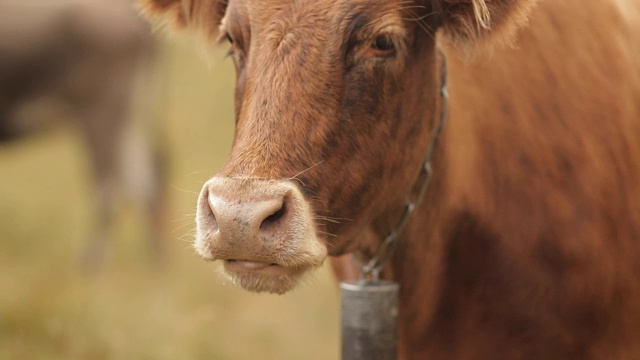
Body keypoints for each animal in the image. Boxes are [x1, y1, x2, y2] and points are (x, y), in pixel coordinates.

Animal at [0, 0, 168, 270]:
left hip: (102, 111)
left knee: (109, 185)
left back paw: (93, 262)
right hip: (127, 116)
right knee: (142, 181)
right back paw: (155, 263)